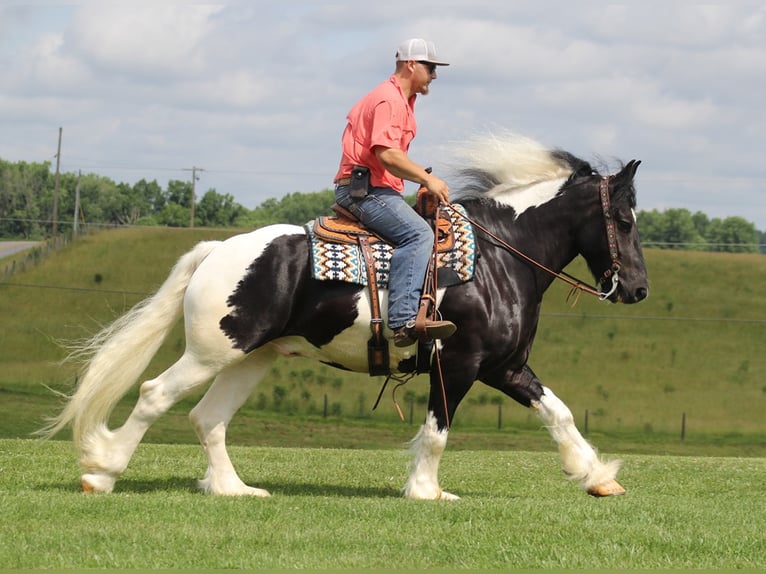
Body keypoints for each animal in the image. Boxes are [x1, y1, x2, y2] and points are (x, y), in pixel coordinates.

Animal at [43, 134, 648, 500]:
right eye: (623, 219)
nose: (638, 289)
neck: (498, 258)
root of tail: (217, 250)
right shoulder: (458, 363)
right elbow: (437, 432)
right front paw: (427, 491)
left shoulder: (506, 367)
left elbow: (559, 414)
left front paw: (597, 477)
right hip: (213, 352)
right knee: (154, 396)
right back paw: (102, 472)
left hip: (250, 358)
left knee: (207, 418)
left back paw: (233, 489)